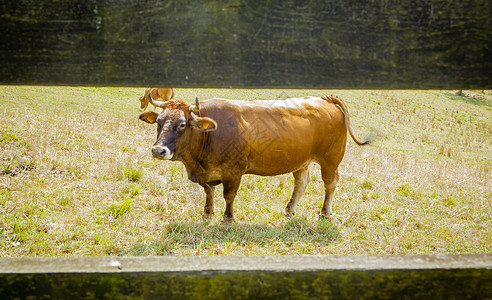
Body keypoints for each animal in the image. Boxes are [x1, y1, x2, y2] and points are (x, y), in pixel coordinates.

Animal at [138, 93, 368, 220]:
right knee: (301, 182)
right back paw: (289, 210)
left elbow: (229, 195)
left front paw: (227, 217)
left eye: (182, 124)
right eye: (158, 121)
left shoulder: (234, 170)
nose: (158, 150)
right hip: (301, 161)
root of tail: (323, 98)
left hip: (330, 160)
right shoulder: (207, 172)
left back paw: (325, 212)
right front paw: (208, 212)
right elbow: (209, 192)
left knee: (330, 183)